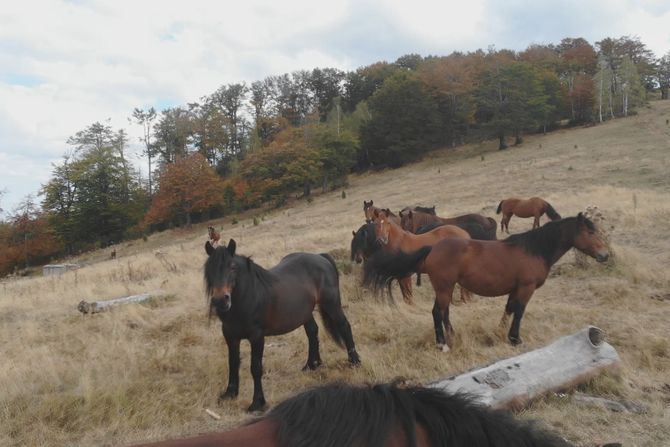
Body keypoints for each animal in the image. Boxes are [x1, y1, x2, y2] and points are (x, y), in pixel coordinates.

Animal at [205, 238, 362, 412]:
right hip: (305, 312)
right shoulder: (230, 336)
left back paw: (354, 361)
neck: (248, 296)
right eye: (209, 269)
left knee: (344, 326)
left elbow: (255, 367)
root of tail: (321, 257)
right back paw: (312, 365)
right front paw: (230, 394)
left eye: (232, 267)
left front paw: (257, 402)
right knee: (312, 332)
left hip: (332, 304)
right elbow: (232, 363)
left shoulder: (257, 337)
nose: (220, 300)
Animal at [364, 215, 612, 352]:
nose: (605, 255)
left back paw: (452, 335)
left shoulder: (515, 289)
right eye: (590, 231)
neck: (533, 249)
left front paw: (501, 332)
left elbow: (509, 309)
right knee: (437, 312)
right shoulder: (526, 288)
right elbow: (519, 312)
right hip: (444, 287)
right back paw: (442, 344)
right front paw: (515, 339)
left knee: (444, 312)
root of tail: (433, 248)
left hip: (447, 287)